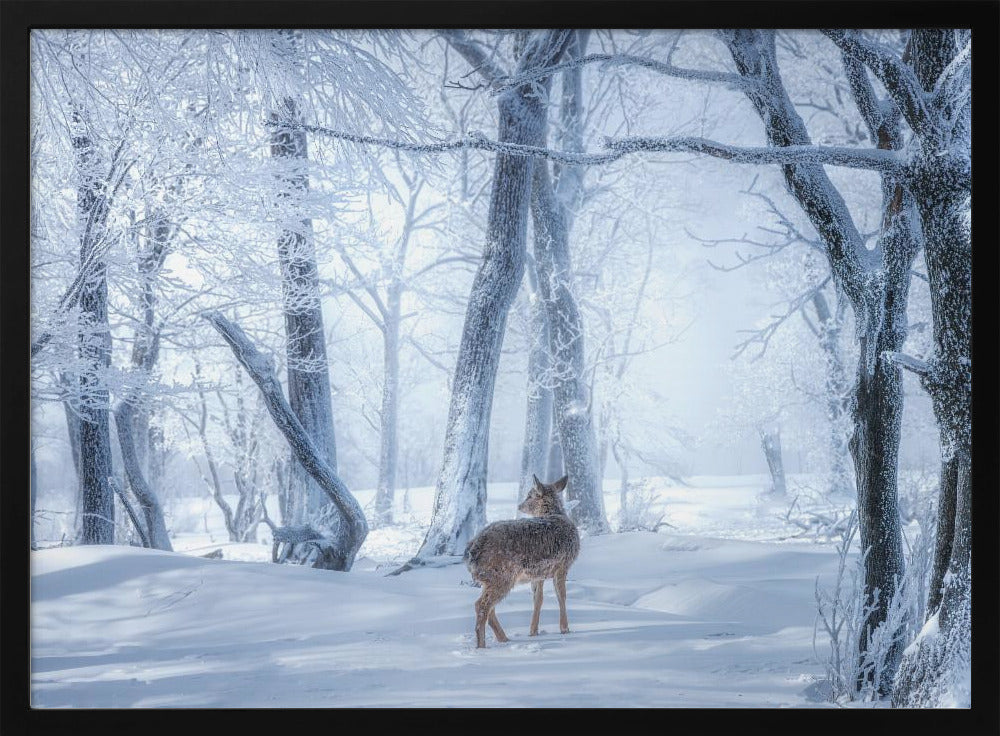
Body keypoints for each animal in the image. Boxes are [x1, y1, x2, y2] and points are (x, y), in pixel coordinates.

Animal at [463, 474, 581, 648]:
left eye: (529, 495)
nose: (520, 505)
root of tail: (472, 551)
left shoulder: (539, 574)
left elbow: (538, 599)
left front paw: (533, 631)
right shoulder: (563, 564)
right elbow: (562, 596)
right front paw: (565, 629)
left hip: (490, 578)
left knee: (489, 608)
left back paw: (504, 639)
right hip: (501, 575)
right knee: (481, 605)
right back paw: (482, 646)